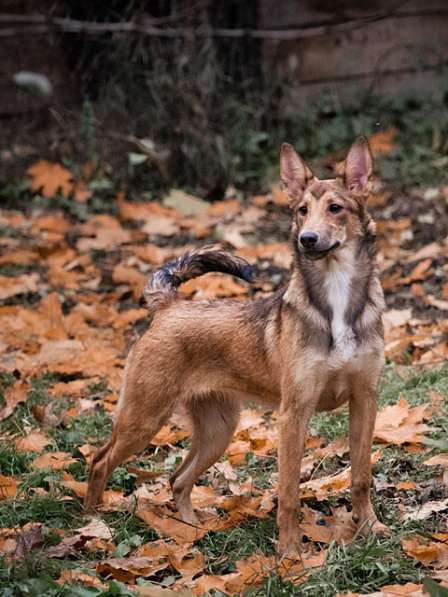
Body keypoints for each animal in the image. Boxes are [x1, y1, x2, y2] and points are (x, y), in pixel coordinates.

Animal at [85, 135, 388, 556]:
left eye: (335, 208)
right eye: (301, 210)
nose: (306, 240)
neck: (336, 301)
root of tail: (169, 306)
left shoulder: (365, 401)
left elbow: (360, 477)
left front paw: (370, 527)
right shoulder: (293, 414)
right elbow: (289, 492)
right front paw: (290, 552)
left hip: (218, 430)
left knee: (178, 479)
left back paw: (190, 530)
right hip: (142, 420)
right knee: (100, 462)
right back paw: (93, 523)